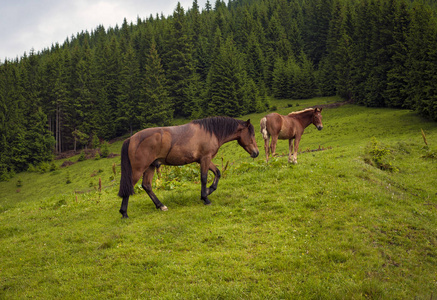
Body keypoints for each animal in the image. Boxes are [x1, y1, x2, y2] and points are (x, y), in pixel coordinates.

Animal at [117, 116, 258, 217]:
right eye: (252, 134)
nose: (256, 152)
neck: (210, 132)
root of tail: (131, 139)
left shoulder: (203, 159)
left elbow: (217, 173)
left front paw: (208, 191)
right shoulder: (205, 159)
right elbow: (204, 178)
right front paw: (205, 198)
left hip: (150, 166)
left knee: (147, 186)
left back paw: (161, 206)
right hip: (138, 169)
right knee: (129, 187)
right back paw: (124, 213)